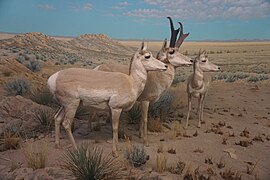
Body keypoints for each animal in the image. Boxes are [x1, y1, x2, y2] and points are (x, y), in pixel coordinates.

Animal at [95, 17, 192, 145]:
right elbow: (145, 119)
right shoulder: (145, 101)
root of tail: (98, 67)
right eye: (171, 51)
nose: (191, 60)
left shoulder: (143, 102)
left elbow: (141, 119)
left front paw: (141, 135)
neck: (156, 77)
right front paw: (145, 141)